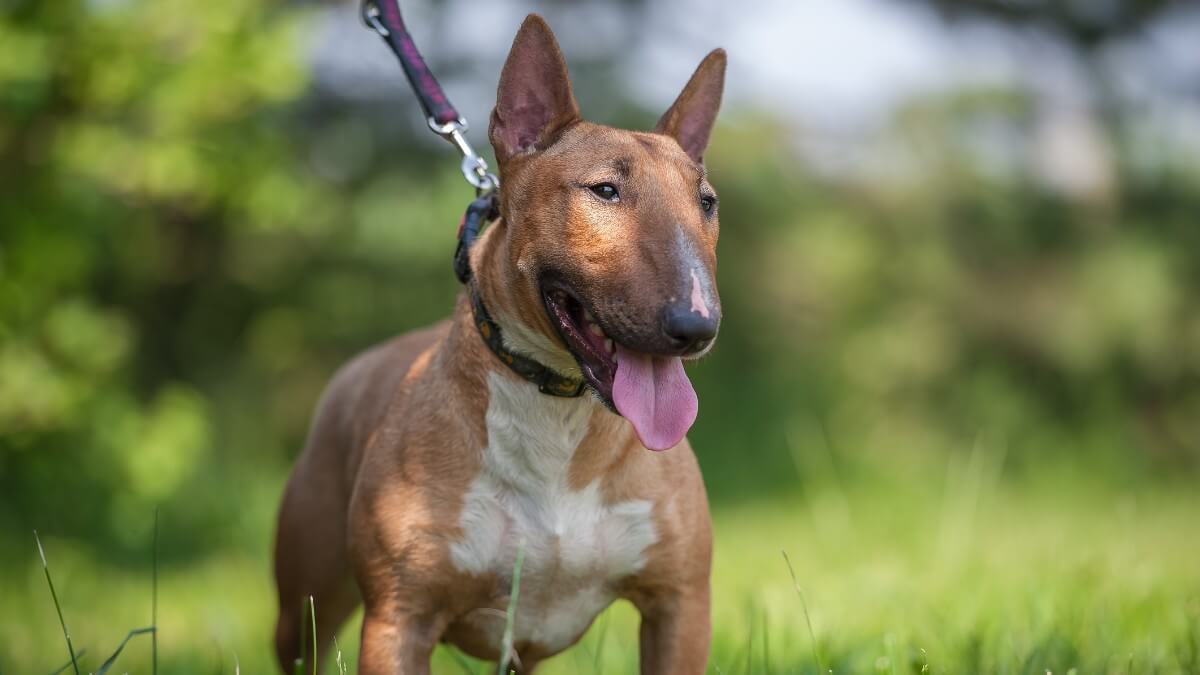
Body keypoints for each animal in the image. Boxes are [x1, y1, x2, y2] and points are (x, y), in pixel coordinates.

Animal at [272, 13, 720, 667]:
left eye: (706, 202)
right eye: (605, 191)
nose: (697, 328)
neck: (556, 415)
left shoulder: (679, 606)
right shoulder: (397, 621)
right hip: (304, 605)